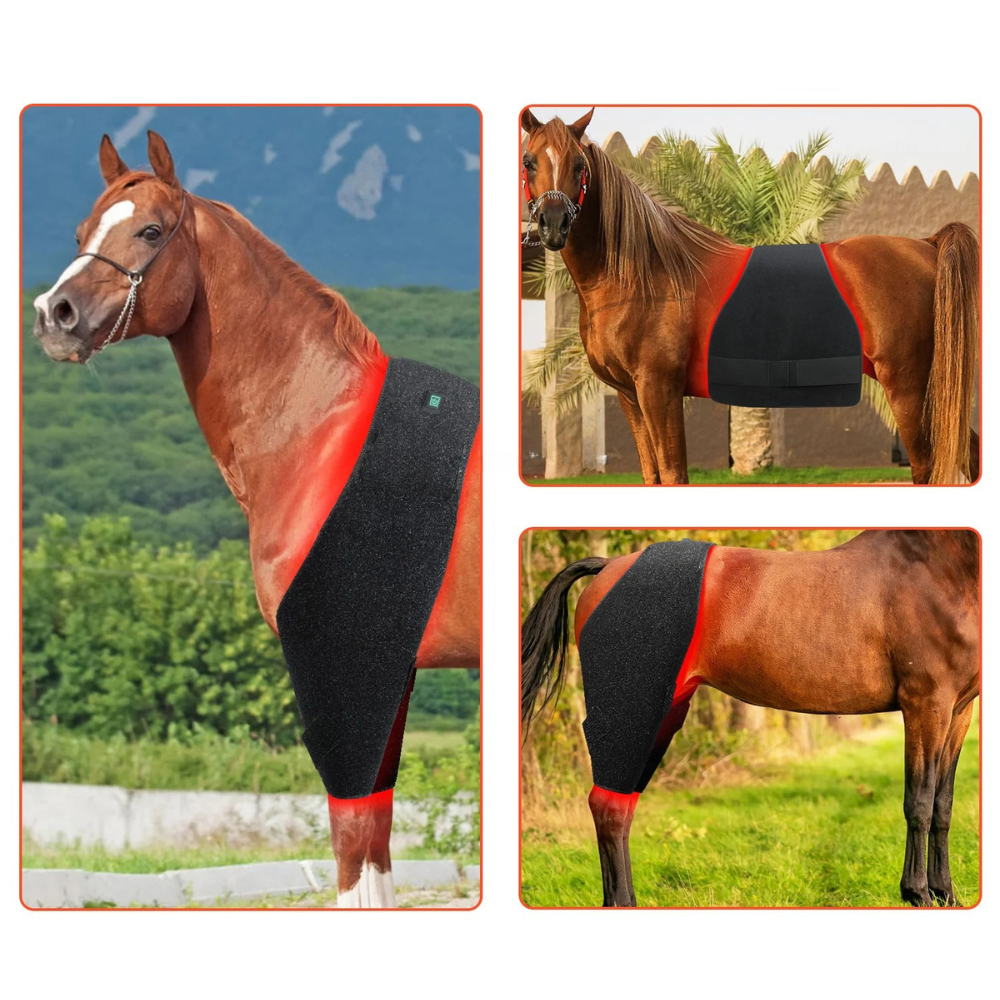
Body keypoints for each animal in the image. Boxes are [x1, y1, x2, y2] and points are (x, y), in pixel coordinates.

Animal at [32, 130, 482, 908]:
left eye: (151, 231)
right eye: (82, 232)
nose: (52, 313)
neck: (321, 434)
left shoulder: (339, 668)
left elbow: (353, 845)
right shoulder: (386, 675)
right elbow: (377, 841)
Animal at [520, 109, 980, 485]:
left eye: (579, 165)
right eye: (529, 160)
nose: (553, 224)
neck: (642, 274)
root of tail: (926, 245)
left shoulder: (658, 388)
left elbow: (673, 474)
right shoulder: (629, 395)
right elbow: (653, 476)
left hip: (908, 386)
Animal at [521, 530, 980, 907]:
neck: (940, 566)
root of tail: (607, 568)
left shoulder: (958, 711)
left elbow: (943, 804)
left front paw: (946, 893)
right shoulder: (926, 704)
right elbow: (919, 802)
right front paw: (918, 893)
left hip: (661, 715)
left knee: (620, 806)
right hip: (632, 712)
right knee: (609, 807)